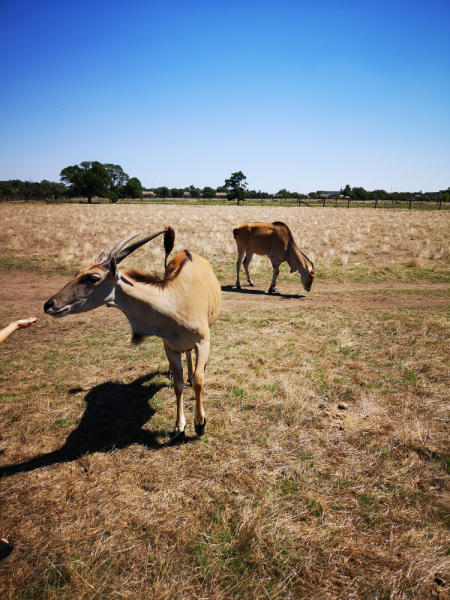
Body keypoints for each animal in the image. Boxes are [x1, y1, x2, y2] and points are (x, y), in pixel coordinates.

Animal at [44, 227, 221, 438]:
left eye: (93, 277)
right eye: (78, 272)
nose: (49, 305)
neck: (175, 302)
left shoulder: (203, 342)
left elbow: (199, 381)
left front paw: (200, 423)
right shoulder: (170, 347)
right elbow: (178, 386)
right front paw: (179, 426)